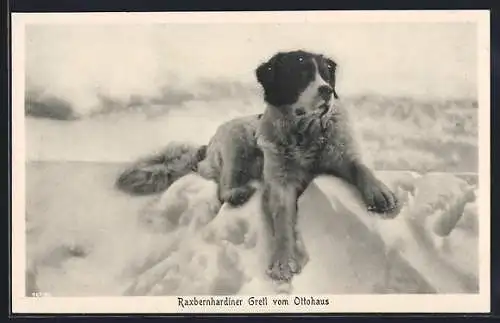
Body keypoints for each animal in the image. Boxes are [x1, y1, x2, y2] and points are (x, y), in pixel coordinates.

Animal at [115, 50, 400, 284]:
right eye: (301, 74)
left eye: (326, 74)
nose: (327, 90)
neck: (304, 134)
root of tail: (206, 147)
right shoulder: (280, 184)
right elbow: (282, 223)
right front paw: (283, 263)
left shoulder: (343, 154)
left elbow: (362, 168)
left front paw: (381, 195)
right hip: (234, 144)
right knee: (223, 188)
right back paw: (238, 194)